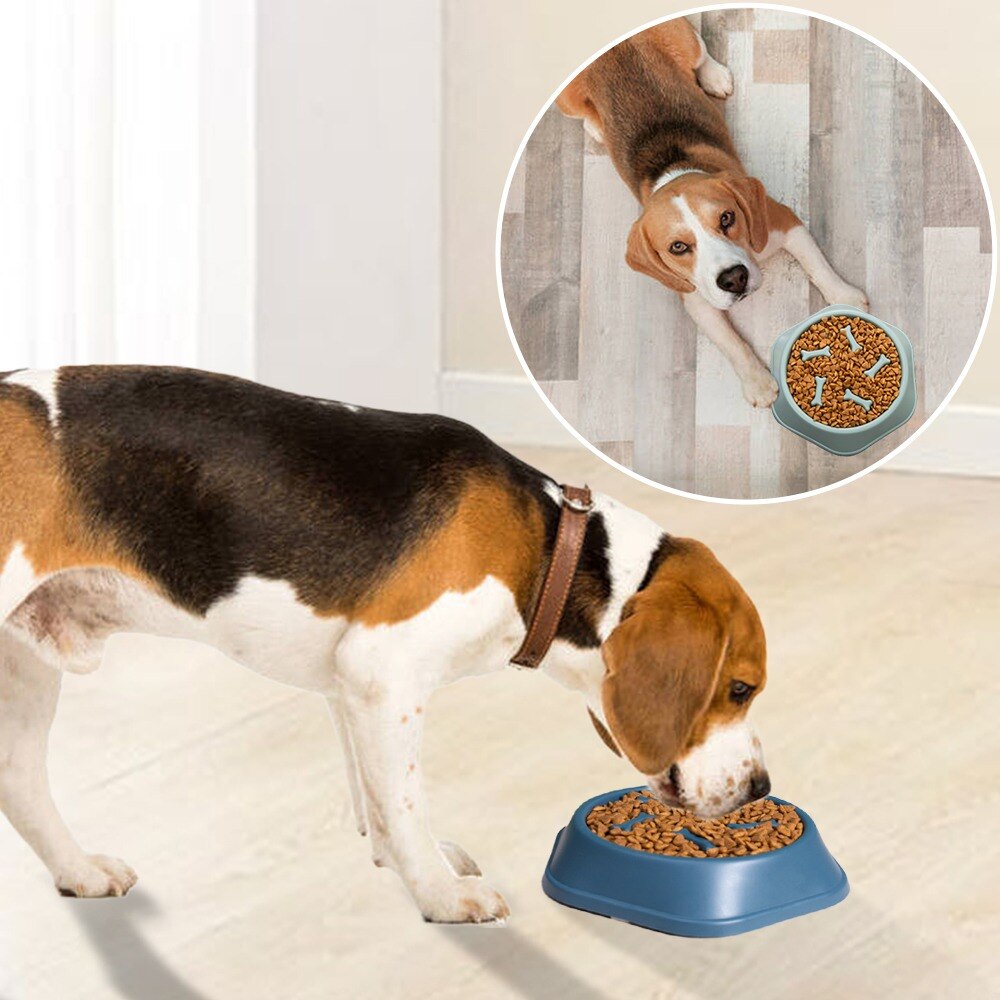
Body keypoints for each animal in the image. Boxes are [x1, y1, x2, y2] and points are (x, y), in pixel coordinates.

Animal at [0, 366, 768, 920]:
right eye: (739, 689)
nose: (761, 787)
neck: (548, 546)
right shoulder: (384, 673)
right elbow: (403, 801)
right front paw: (440, 893)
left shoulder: (349, 687)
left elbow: (374, 799)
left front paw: (409, 866)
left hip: (26, 666)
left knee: (20, 781)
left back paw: (78, 871)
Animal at [556, 16, 868, 406]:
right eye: (678, 247)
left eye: (727, 218)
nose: (734, 279)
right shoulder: (697, 299)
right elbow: (731, 342)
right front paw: (757, 382)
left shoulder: (783, 222)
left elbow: (819, 267)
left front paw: (845, 297)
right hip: (566, 98)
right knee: (584, 112)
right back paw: (597, 126)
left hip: (683, 40)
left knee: (699, 48)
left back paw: (714, 76)